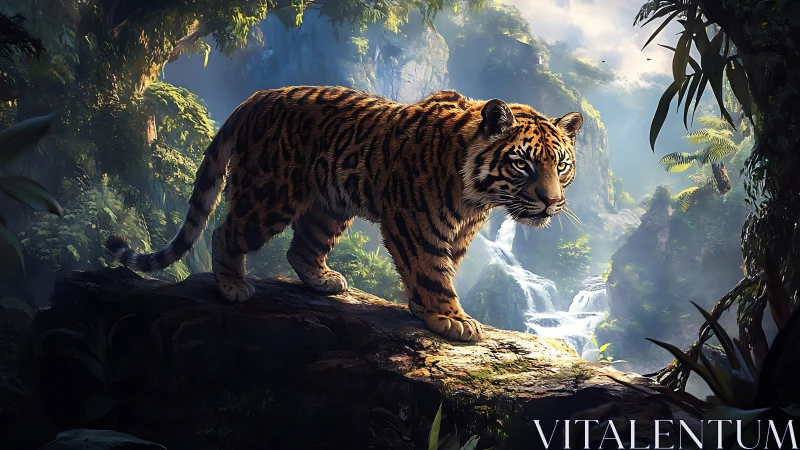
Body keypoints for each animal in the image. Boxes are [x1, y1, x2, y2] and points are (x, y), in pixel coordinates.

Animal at [106, 86, 582, 342]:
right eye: (522, 164)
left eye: (560, 164)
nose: (551, 201)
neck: (477, 198)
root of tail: (256, 96)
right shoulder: (414, 222)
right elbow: (430, 269)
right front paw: (450, 318)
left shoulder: (458, 233)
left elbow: (441, 269)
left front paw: (427, 310)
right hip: (269, 197)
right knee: (225, 232)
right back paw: (233, 287)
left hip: (329, 208)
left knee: (301, 248)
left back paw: (323, 281)